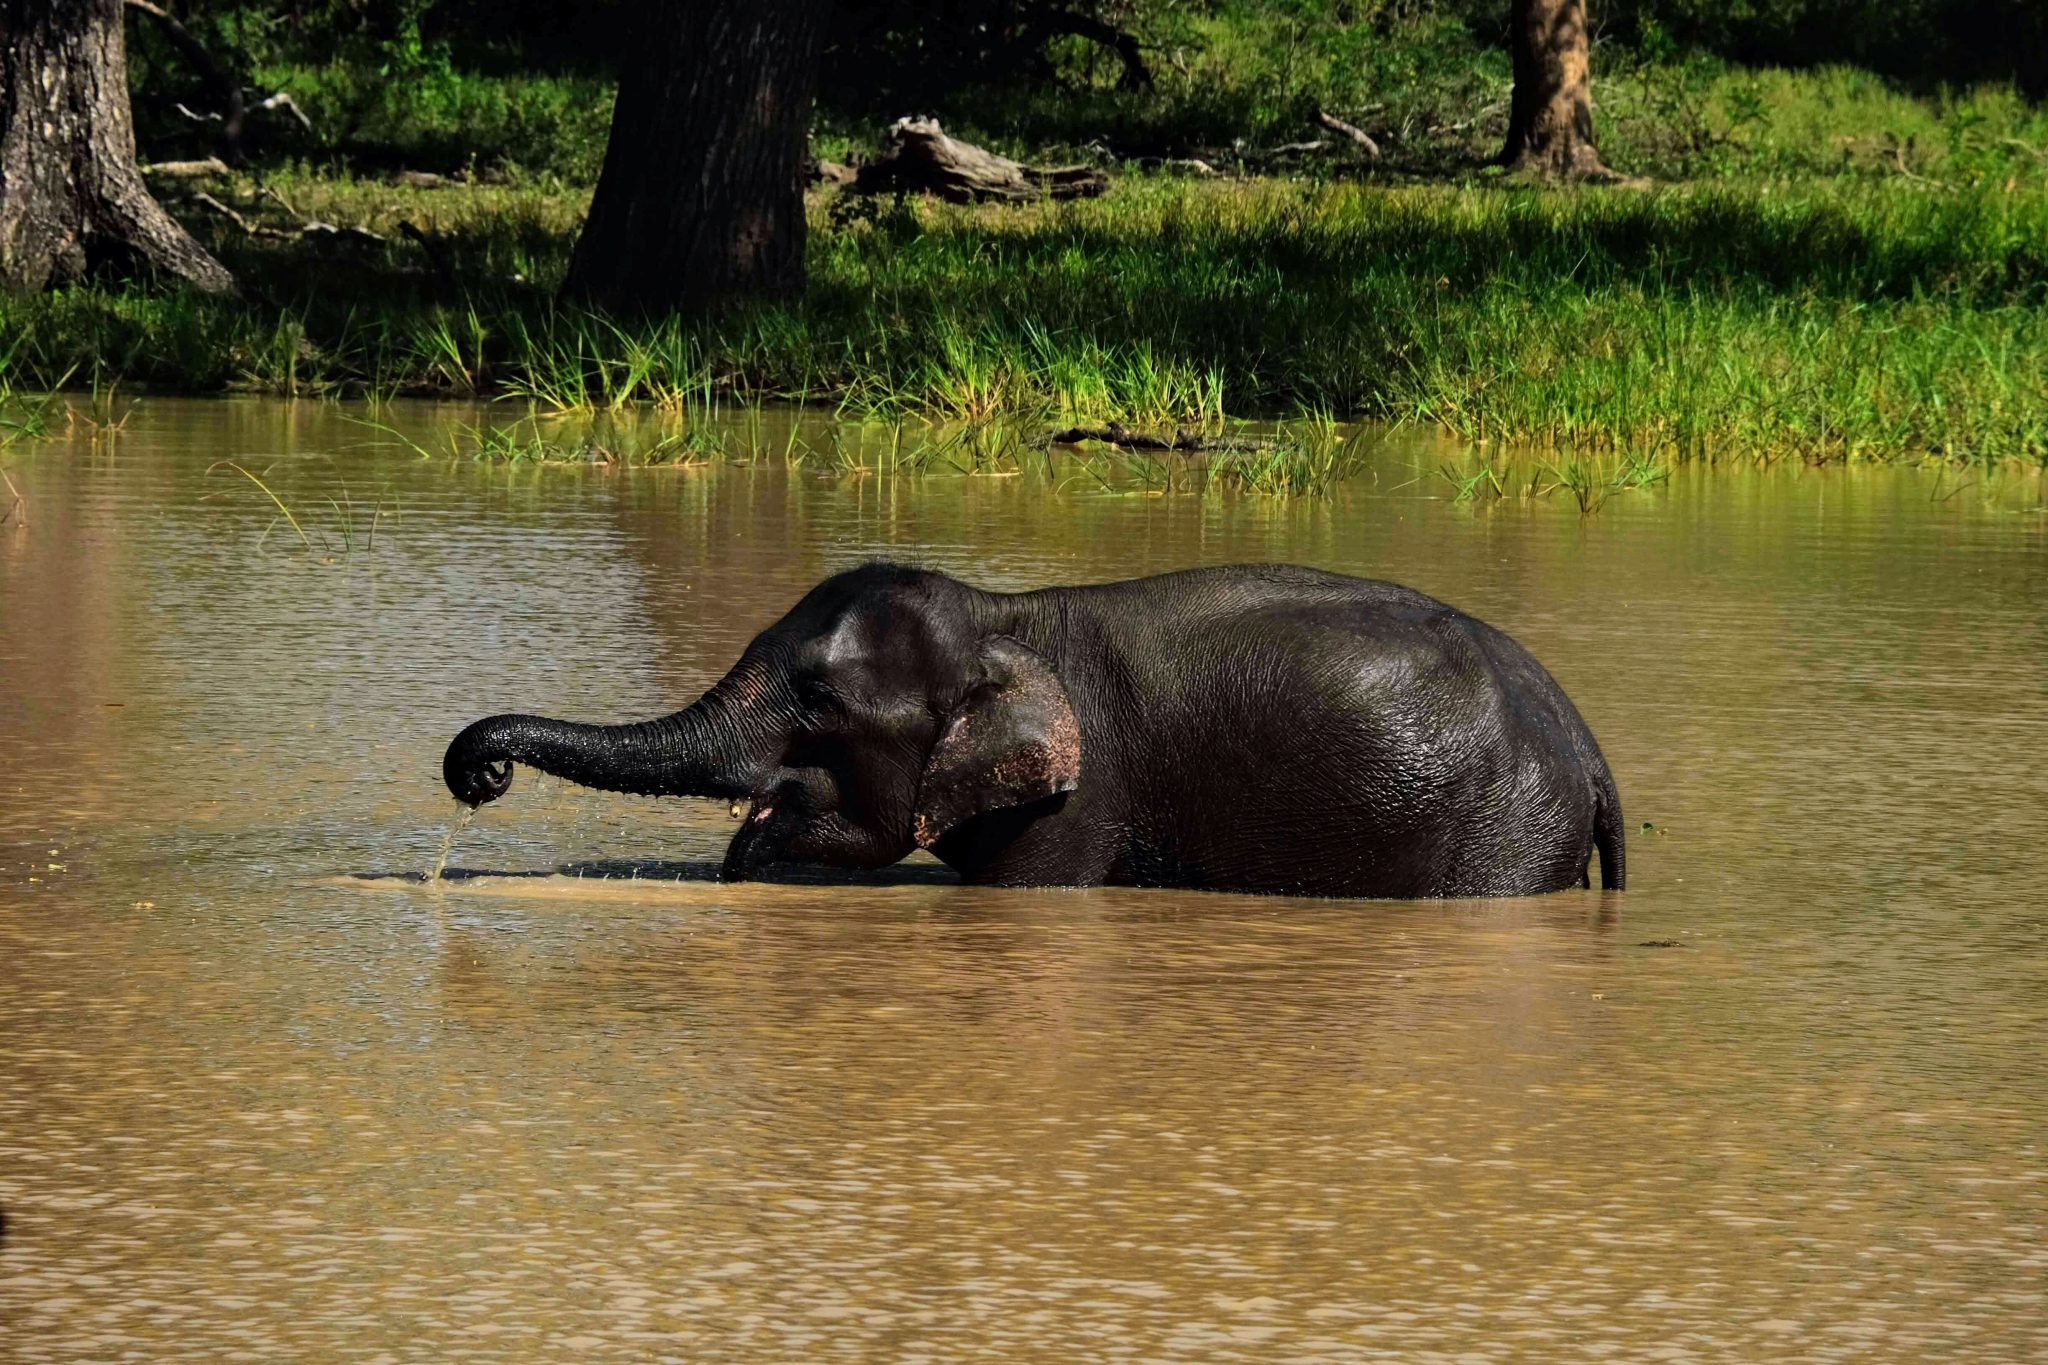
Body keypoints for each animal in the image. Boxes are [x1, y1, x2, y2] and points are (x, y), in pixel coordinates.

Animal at [440, 560, 1622, 900]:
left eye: (817, 705)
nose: (480, 774)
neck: (1002, 614)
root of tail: (1587, 743)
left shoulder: (1080, 799)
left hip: (1502, 835)